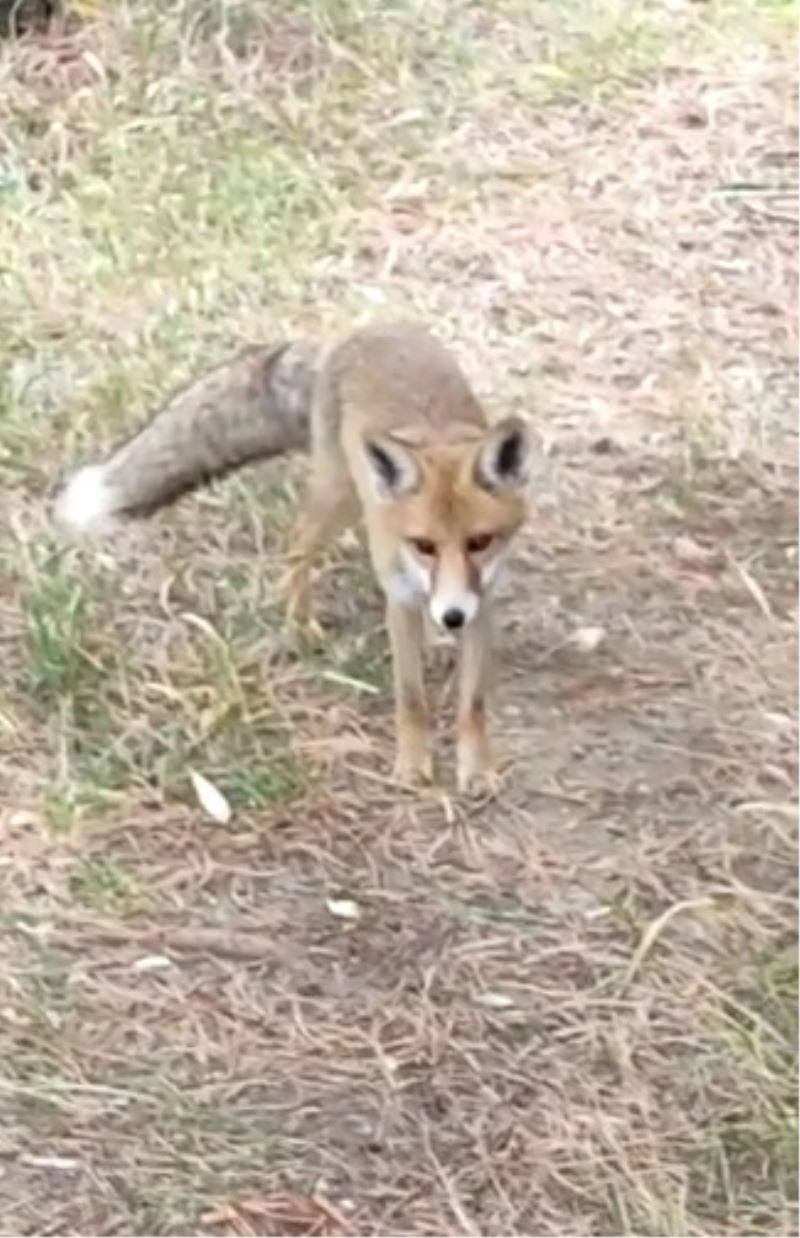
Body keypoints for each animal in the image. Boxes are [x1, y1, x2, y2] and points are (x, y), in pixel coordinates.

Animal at [56, 324, 532, 792]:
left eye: (481, 541)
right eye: (424, 545)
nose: (452, 616)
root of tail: (347, 335)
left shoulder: (481, 601)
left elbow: (473, 704)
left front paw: (476, 769)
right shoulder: (400, 595)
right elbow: (410, 697)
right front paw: (413, 764)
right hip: (339, 495)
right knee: (296, 542)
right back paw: (300, 624)